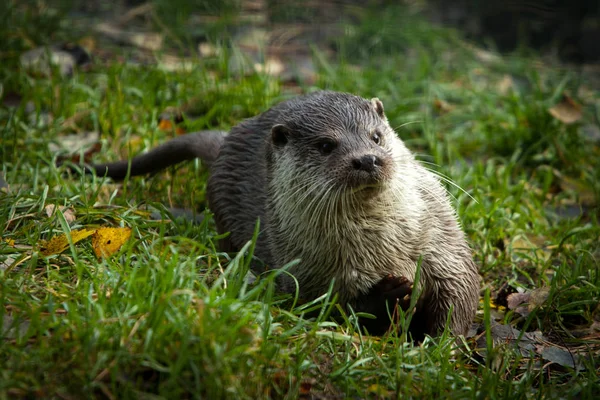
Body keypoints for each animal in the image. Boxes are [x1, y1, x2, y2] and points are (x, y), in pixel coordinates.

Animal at [81, 90, 482, 338]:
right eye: (326, 145)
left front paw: (444, 345)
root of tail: (225, 143)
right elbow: (329, 308)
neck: (385, 248)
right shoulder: (308, 273)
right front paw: (387, 293)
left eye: (376, 136)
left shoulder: (443, 246)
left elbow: (460, 294)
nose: (368, 159)